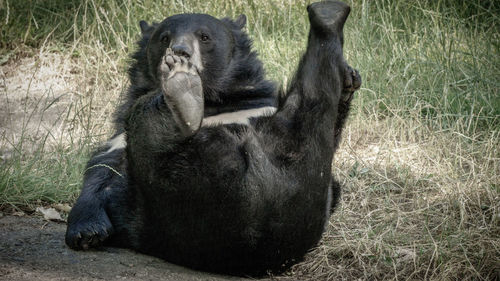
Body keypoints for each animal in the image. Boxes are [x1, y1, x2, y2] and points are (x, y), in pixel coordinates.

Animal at [65, 0, 360, 274]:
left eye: (204, 37)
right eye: (164, 38)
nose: (180, 52)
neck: (213, 100)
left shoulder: (257, 106)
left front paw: (349, 78)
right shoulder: (118, 137)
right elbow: (102, 170)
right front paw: (87, 233)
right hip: (180, 197)